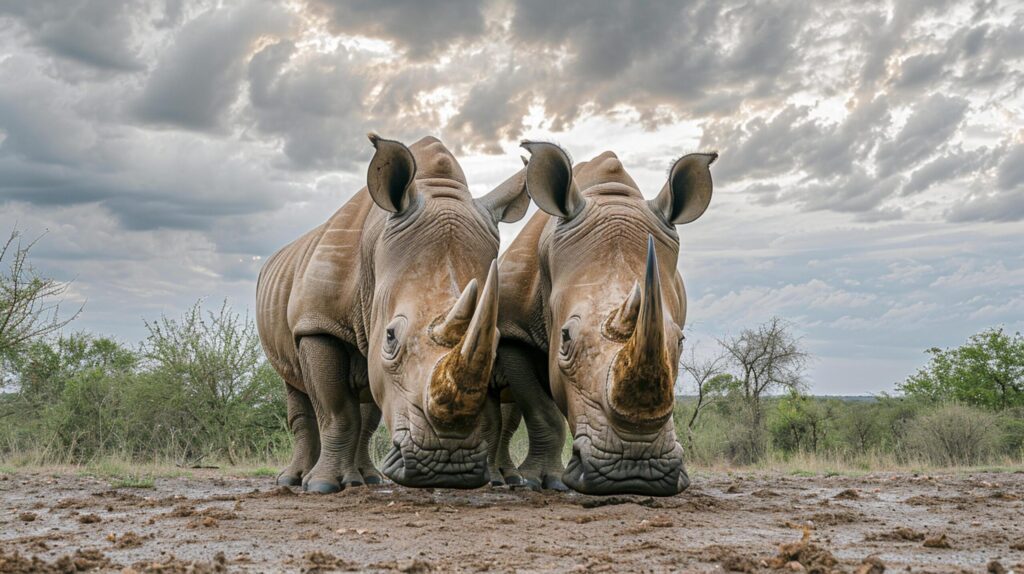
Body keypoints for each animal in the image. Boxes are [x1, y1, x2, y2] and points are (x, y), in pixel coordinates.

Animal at [253, 135, 528, 493]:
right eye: (391, 337)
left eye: (496, 343)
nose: (447, 465)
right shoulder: (318, 324)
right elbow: (336, 411)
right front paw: (322, 486)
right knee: (296, 387)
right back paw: (293, 480)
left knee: (365, 409)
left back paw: (365, 479)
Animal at [493, 141, 716, 495]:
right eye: (566, 337)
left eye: (680, 342)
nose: (633, 471)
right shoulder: (514, 332)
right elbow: (542, 411)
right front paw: (545, 481)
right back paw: (507, 480)